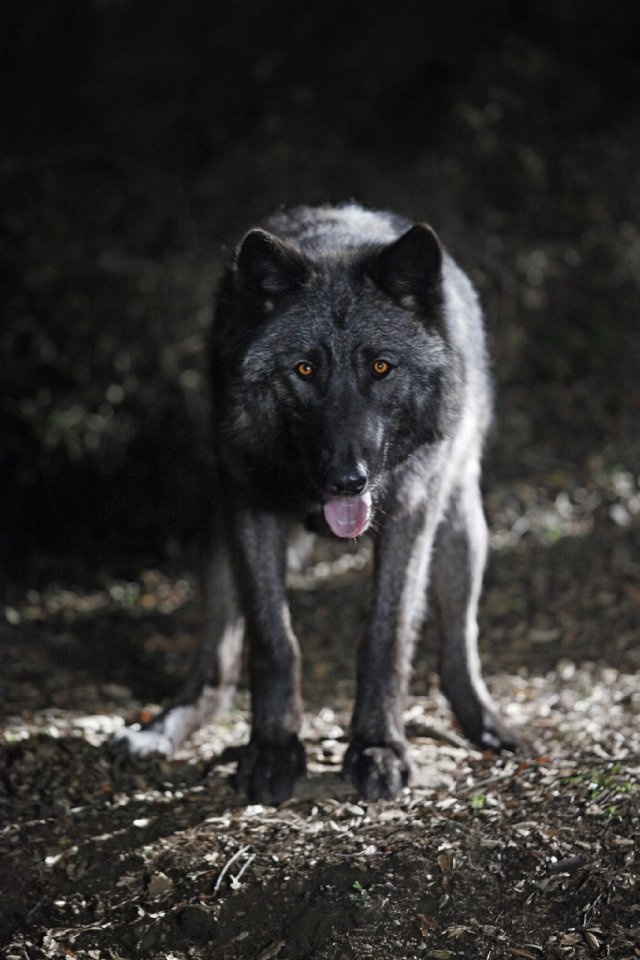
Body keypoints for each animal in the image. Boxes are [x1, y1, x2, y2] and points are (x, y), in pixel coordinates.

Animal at [114, 202, 524, 804]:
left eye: (380, 367)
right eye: (306, 369)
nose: (346, 480)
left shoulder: (409, 519)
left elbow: (386, 635)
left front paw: (379, 747)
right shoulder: (252, 514)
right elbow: (273, 642)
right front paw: (272, 750)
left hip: (460, 528)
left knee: (458, 648)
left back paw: (489, 725)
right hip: (218, 538)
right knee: (215, 674)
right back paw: (162, 729)